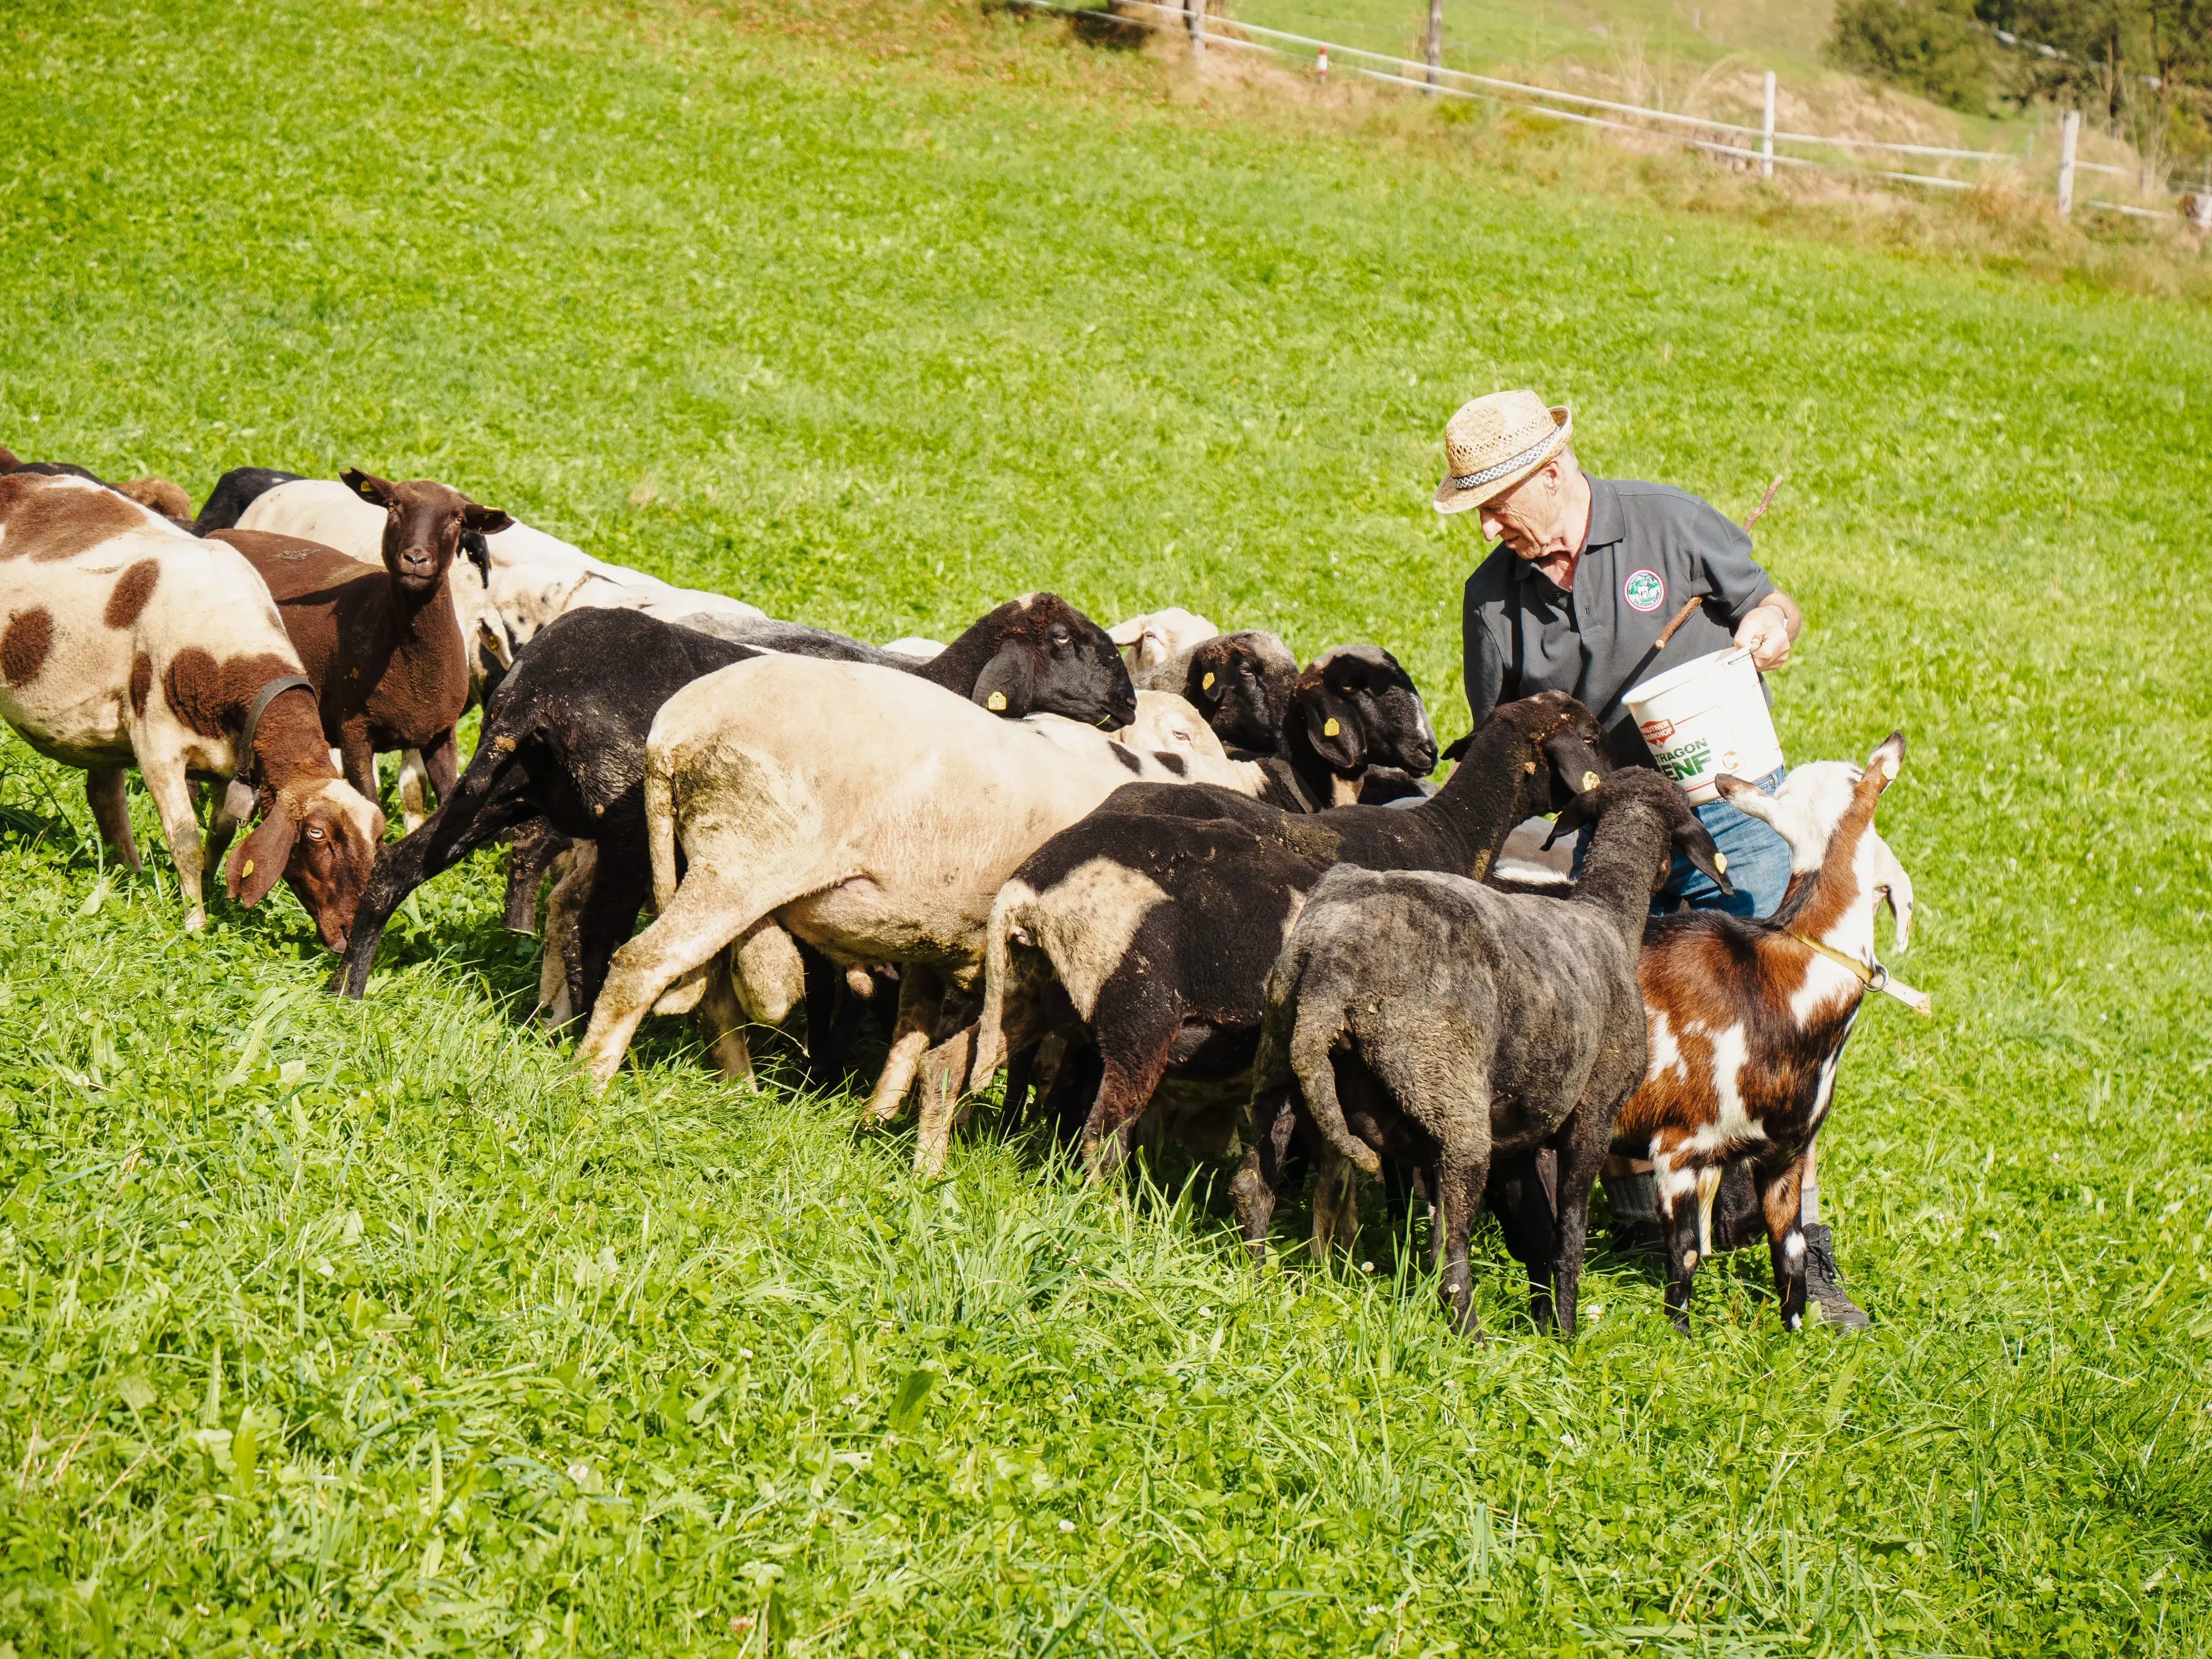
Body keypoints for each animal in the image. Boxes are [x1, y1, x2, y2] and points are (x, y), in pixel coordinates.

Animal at [0, 473, 385, 955]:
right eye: (316, 835)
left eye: (379, 838)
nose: (352, 937)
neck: (233, 656)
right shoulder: (157, 746)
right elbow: (185, 839)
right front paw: (196, 923)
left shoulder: (232, 757)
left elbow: (220, 834)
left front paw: (209, 891)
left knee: (104, 794)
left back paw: (130, 873)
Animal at [1256, 774, 1716, 1345]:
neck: (1607, 916)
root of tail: (1331, 972)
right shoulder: (1594, 1114)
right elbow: (1568, 1234)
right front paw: (1564, 1335)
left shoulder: (1514, 1143)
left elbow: (1533, 1233)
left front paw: (1541, 1323)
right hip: (1452, 1108)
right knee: (1448, 1251)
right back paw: (1470, 1340)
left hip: (1277, 1064)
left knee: (1253, 1182)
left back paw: (1250, 1275)